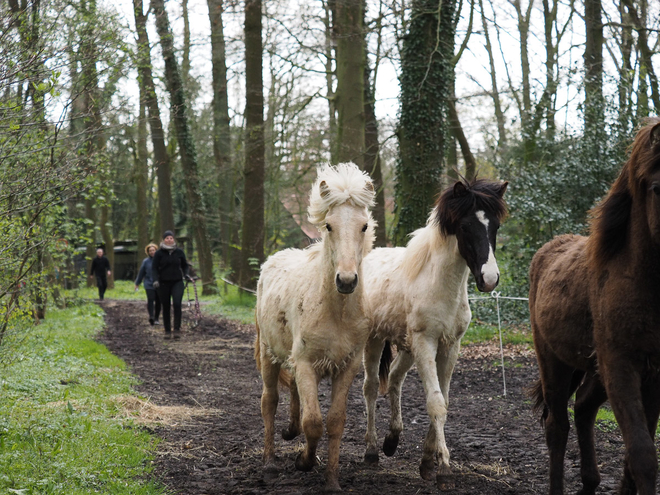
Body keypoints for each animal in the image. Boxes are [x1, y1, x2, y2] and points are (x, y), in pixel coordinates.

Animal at [254, 163, 374, 492]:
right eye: (329, 226)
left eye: (364, 226)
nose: (346, 280)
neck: (337, 312)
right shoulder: (307, 364)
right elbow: (313, 423)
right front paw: (304, 461)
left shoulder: (346, 367)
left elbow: (334, 422)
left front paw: (331, 479)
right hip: (268, 354)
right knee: (269, 401)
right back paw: (269, 463)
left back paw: (290, 433)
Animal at [528, 117, 660, 495]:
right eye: (657, 189)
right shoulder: (620, 365)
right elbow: (643, 454)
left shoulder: (655, 374)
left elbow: (636, 453)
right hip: (553, 362)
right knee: (557, 426)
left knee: (584, 409)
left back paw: (590, 482)